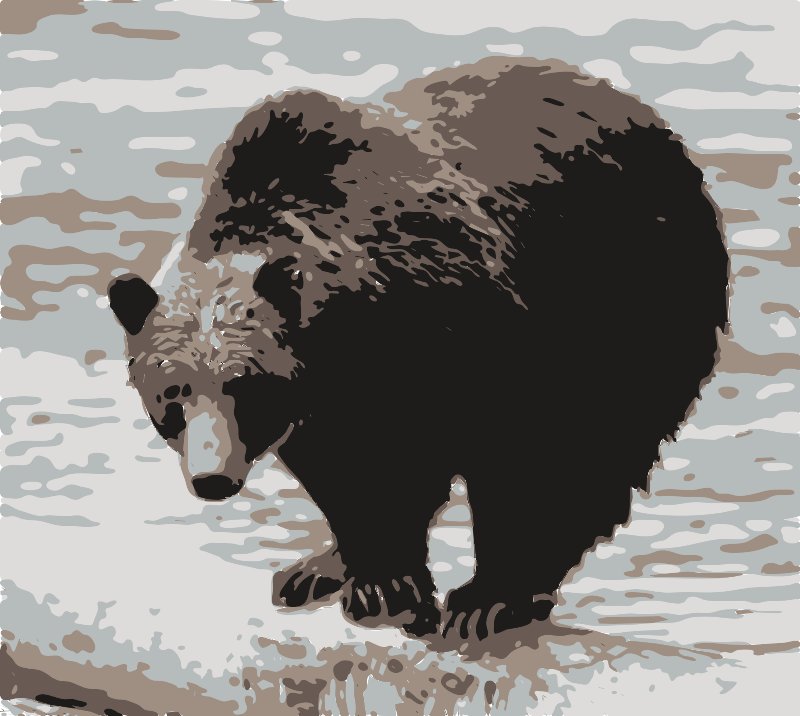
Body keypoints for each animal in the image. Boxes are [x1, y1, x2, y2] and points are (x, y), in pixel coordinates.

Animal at [109, 57, 728, 640]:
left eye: (244, 384)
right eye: (172, 389)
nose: (212, 478)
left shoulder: (461, 332)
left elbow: (502, 457)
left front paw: (460, 594)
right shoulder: (322, 400)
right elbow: (344, 476)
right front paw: (371, 576)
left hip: (632, 295)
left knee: (590, 447)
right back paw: (317, 568)